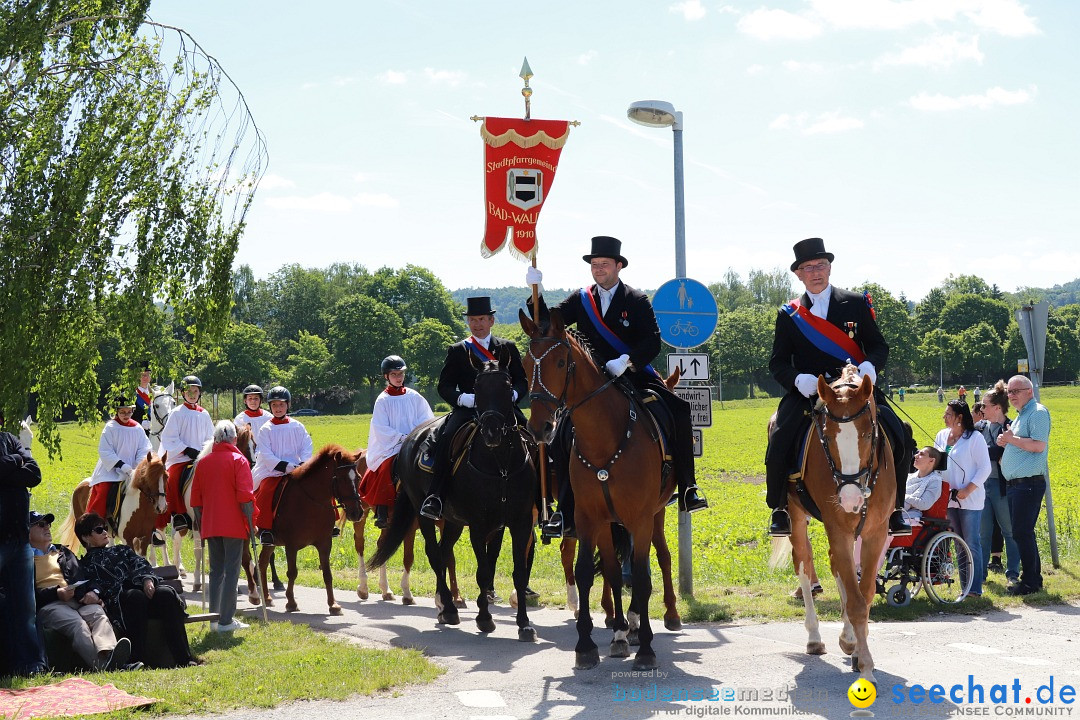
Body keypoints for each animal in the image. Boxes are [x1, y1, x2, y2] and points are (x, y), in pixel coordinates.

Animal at [253, 444, 367, 613]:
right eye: (341, 479)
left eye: (358, 477)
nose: (357, 512)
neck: (311, 501)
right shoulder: (291, 545)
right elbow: (292, 572)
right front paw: (291, 602)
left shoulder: (325, 543)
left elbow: (327, 573)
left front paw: (333, 604)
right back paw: (254, 596)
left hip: (271, 543)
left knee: (262, 563)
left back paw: (266, 598)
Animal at [347, 451, 462, 608]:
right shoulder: (410, 528)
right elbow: (409, 558)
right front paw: (407, 594)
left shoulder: (448, 526)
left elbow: (449, 558)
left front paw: (456, 597)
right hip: (360, 513)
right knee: (360, 544)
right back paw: (363, 587)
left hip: (389, 522)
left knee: (381, 545)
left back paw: (386, 590)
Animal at [371, 362, 540, 639]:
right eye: (477, 388)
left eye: (507, 386)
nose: (492, 432)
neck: (501, 465)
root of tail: (410, 439)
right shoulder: (479, 525)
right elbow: (483, 572)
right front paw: (484, 618)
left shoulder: (518, 522)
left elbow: (517, 572)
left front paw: (524, 625)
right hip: (424, 513)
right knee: (433, 553)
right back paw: (448, 609)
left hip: (453, 521)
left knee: (443, 551)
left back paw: (445, 605)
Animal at [516, 310, 673, 669]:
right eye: (526, 363)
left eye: (561, 362)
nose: (540, 428)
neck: (605, 440)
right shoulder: (588, 517)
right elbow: (589, 570)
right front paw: (587, 644)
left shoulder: (642, 518)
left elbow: (642, 576)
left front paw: (645, 646)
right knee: (604, 567)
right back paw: (614, 628)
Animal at [768, 362, 894, 686]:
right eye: (826, 435)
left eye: (868, 434)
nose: (850, 498)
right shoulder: (838, 528)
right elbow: (857, 600)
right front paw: (864, 664)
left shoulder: (875, 532)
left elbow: (864, 593)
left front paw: (857, 650)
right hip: (797, 517)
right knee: (804, 563)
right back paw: (815, 637)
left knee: (837, 567)